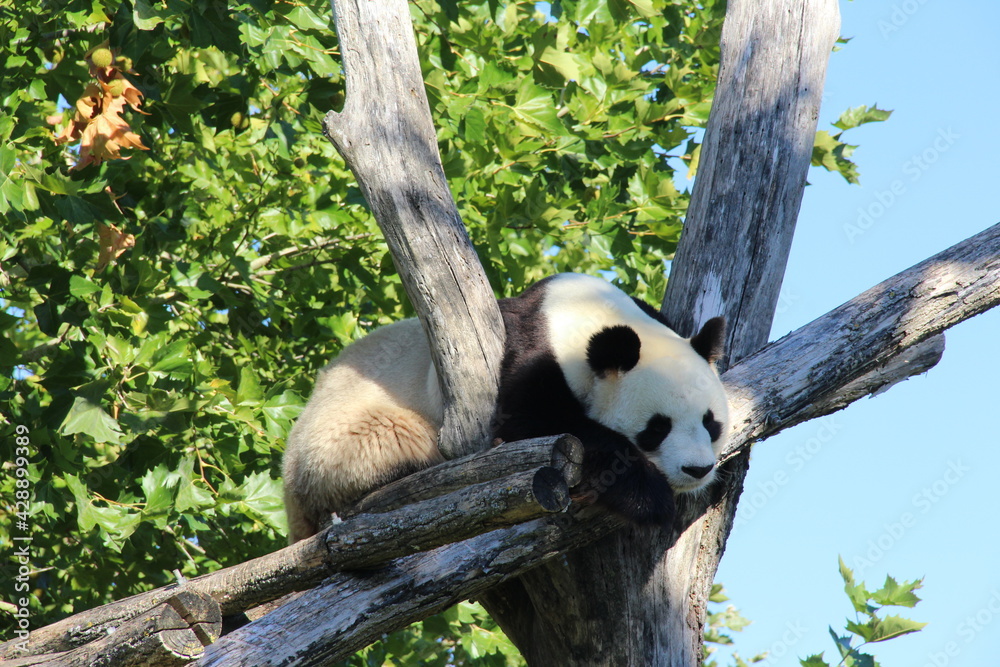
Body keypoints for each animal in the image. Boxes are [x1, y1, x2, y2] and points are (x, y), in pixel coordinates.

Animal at [282, 273, 729, 543]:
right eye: (657, 428)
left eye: (711, 424)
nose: (697, 470)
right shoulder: (530, 355)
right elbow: (535, 426)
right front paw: (649, 498)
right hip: (343, 431)